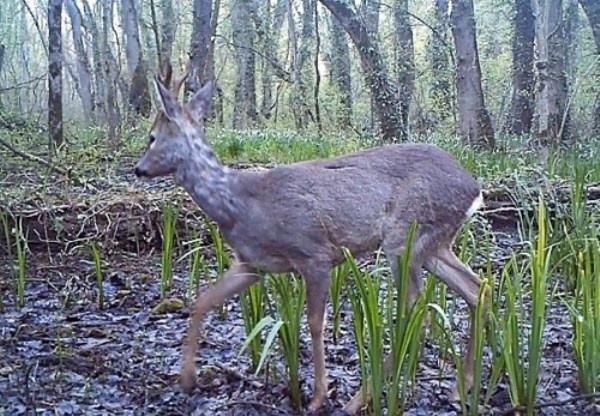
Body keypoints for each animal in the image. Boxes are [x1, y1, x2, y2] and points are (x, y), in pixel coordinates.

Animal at [135, 65, 488, 412]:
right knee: (476, 288)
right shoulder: (253, 264)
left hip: (404, 237)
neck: (241, 203)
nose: (139, 169)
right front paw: (187, 378)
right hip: (434, 244)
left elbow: (315, 323)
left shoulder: (314, 253)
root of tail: (474, 189)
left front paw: (319, 395)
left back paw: (359, 399)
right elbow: (203, 301)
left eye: (151, 138)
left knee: (417, 311)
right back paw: (462, 387)